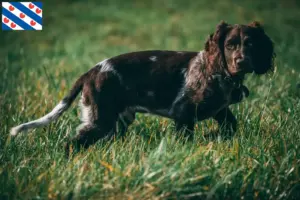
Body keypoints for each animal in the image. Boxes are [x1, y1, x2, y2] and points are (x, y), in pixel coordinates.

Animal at [10, 20, 276, 152]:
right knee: (73, 143)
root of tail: (92, 71)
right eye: (230, 45)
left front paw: (215, 136)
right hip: (100, 120)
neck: (219, 73)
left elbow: (231, 126)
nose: (241, 62)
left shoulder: (220, 110)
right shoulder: (183, 112)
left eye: (251, 44)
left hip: (116, 123)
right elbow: (187, 137)